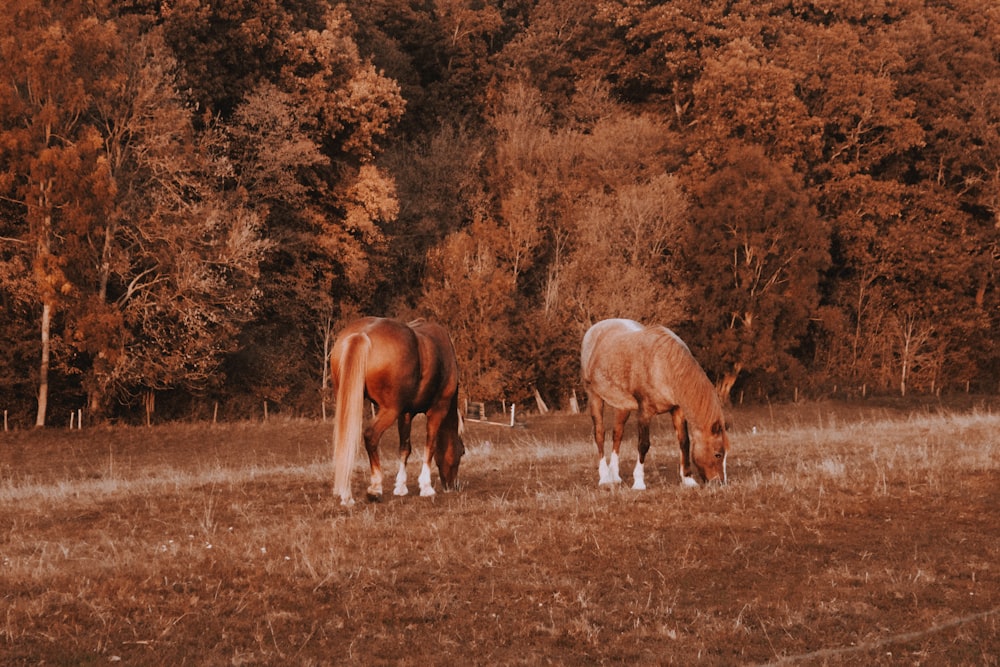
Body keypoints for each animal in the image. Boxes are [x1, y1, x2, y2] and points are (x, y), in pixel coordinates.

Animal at [332, 318, 464, 506]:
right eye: (462, 451)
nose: (452, 486)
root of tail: (362, 334)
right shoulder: (437, 410)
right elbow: (430, 446)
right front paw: (426, 487)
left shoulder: (405, 414)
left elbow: (404, 448)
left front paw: (401, 487)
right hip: (389, 411)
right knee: (371, 435)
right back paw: (375, 489)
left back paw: (347, 495)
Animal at [580, 320, 728, 488]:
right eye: (718, 454)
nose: (721, 483)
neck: (664, 366)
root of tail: (594, 329)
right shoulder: (645, 412)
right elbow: (643, 444)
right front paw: (638, 482)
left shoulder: (677, 410)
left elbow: (684, 442)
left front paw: (688, 479)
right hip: (594, 396)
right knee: (600, 434)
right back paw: (605, 477)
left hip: (622, 405)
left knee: (617, 434)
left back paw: (615, 476)